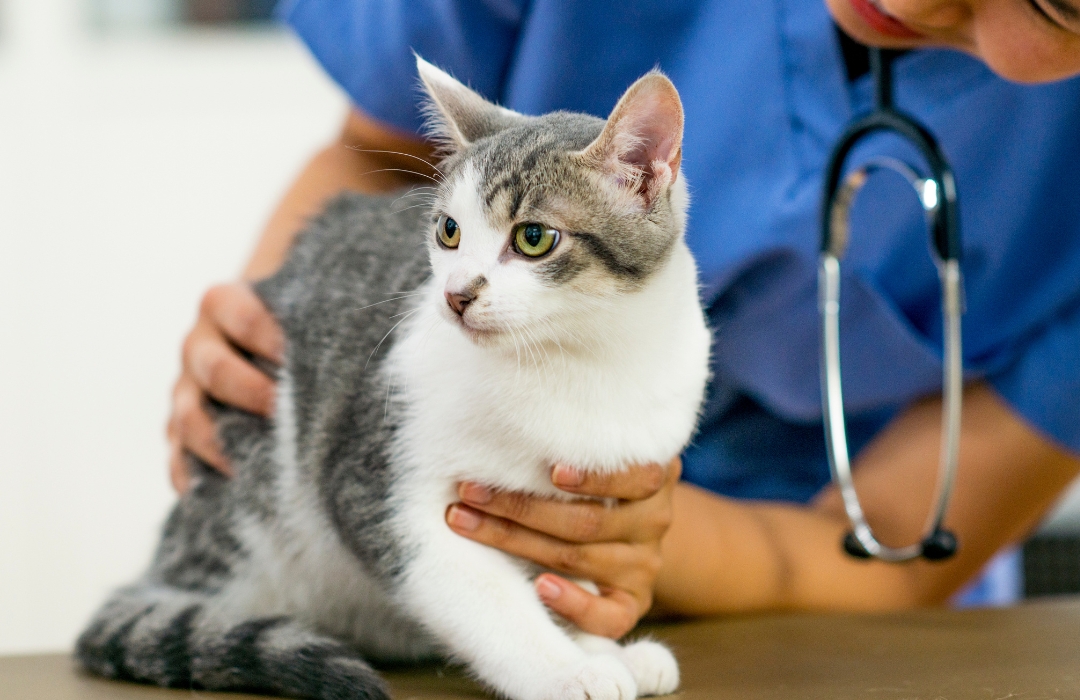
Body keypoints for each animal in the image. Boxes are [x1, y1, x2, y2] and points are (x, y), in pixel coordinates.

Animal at [78, 58, 717, 700]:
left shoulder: (591, 499)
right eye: (449, 232)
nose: (456, 294)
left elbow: (570, 581)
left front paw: (601, 645)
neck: (581, 359)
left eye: (533, 238)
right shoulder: (378, 484)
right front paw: (570, 669)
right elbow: (481, 595)